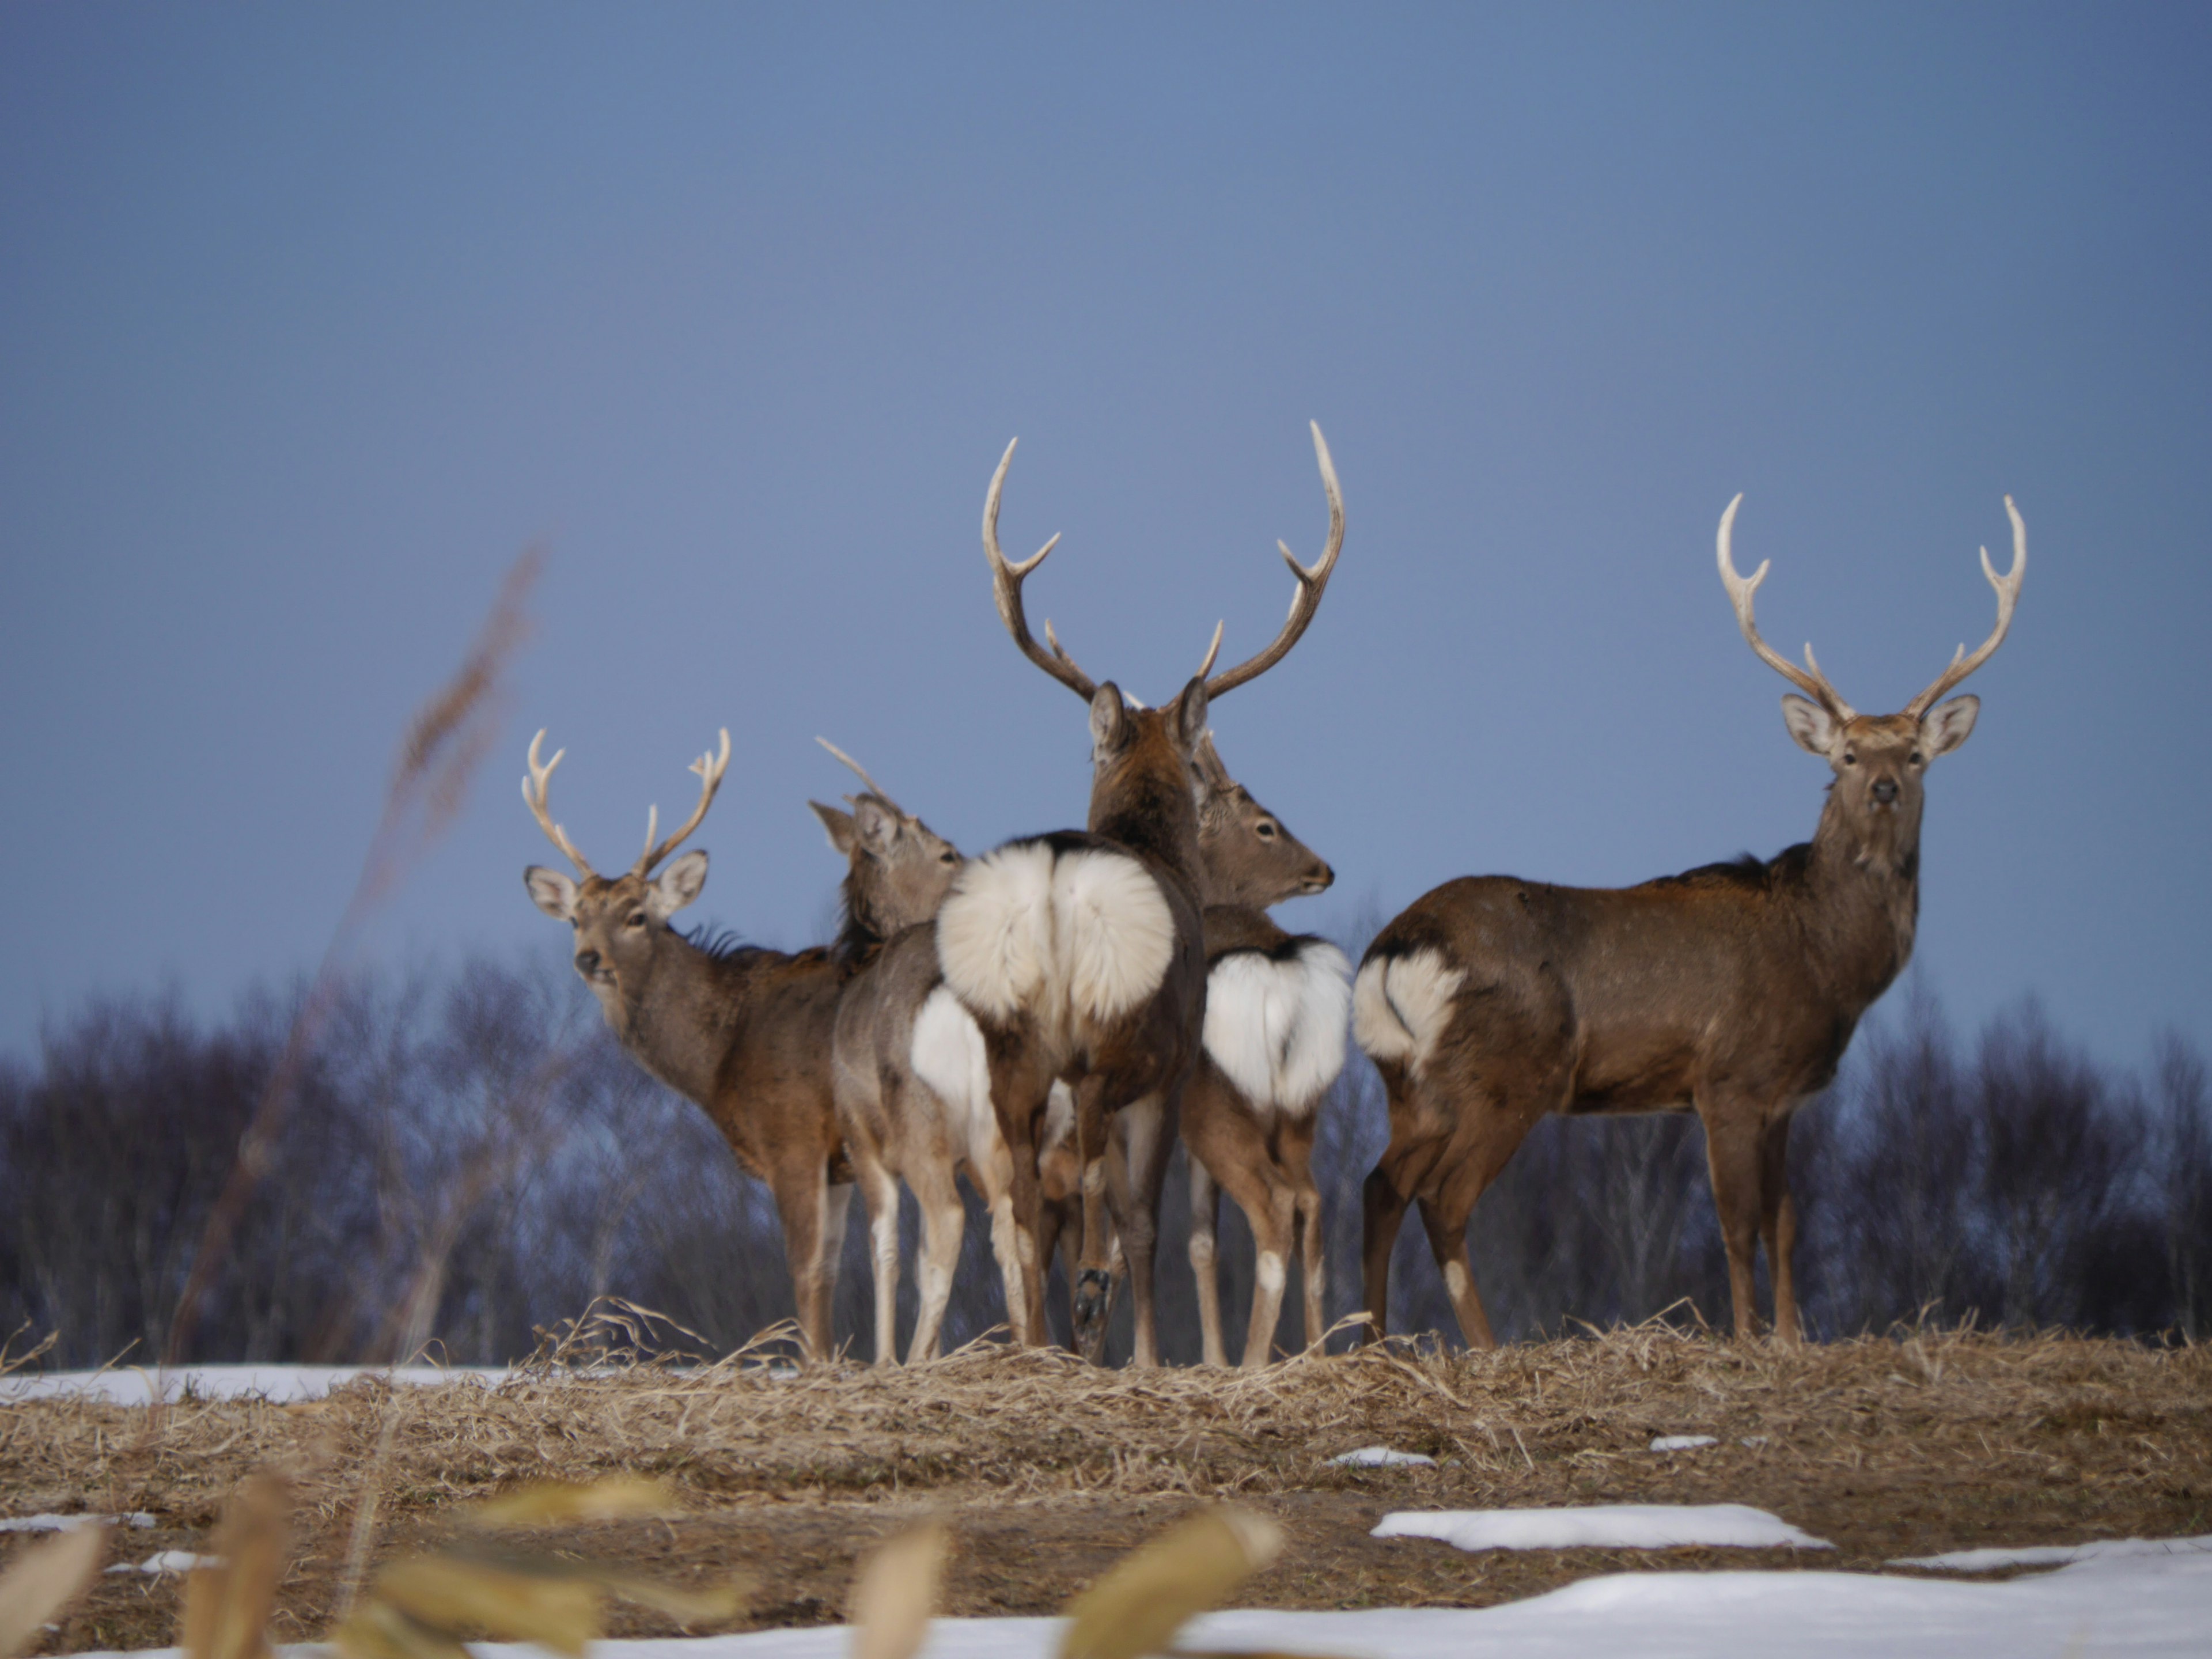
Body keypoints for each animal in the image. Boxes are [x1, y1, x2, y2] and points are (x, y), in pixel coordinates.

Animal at [526, 725, 968, 1362]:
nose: (589, 959)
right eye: (574, 918)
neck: (721, 1057)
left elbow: (807, 1275)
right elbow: (831, 1271)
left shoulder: (794, 1140)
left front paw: (817, 1364)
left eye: (637, 915)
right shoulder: (838, 1167)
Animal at [1344, 498, 2026, 1354]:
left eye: (1914, 754)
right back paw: (1488, 1349)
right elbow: (1738, 1224)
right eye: (1843, 755)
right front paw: (1745, 1337)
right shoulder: (1728, 1078)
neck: (1825, 960)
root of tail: (1395, 948)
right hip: (1505, 1072)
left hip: (1409, 1081)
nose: (1882, 788)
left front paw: (1792, 1339)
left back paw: (1372, 1344)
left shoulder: (1785, 1097)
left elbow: (1785, 1221)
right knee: (1444, 1197)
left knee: (1381, 1183)